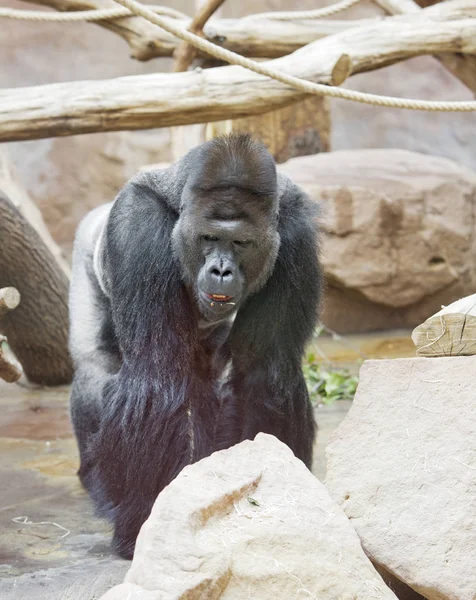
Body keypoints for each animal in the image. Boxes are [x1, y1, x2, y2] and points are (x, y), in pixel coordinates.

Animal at [69, 134, 322, 560]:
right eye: (209, 238)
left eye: (241, 243)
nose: (221, 270)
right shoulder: (137, 224)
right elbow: (156, 380)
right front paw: (143, 523)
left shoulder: (295, 232)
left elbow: (265, 371)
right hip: (86, 244)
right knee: (94, 367)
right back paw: (97, 482)